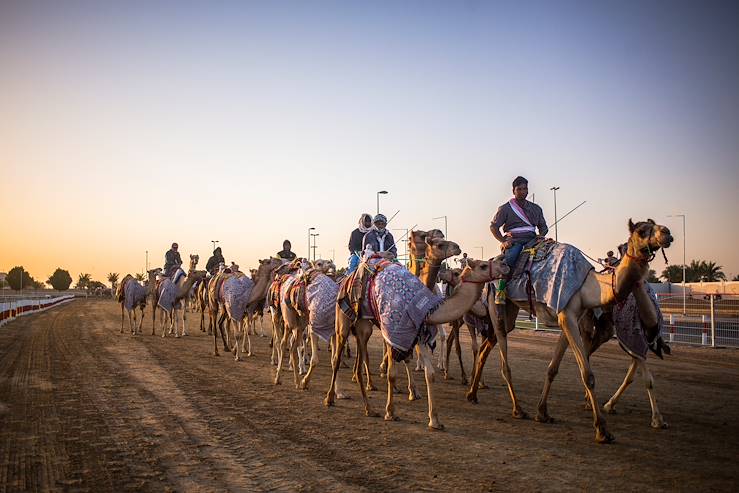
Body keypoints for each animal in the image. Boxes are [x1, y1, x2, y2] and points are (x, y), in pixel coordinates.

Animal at [324, 258, 508, 430]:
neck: (429, 310)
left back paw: (369, 409)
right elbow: (392, 374)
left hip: (364, 326)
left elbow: (430, 373)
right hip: (343, 321)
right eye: (483, 266)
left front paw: (434, 420)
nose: (504, 264)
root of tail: (347, 279)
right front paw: (390, 412)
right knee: (336, 358)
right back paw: (330, 398)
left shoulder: (418, 333)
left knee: (358, 363)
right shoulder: (392, 331)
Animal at [472, 219, 672, 442]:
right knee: (504, 362)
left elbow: (552, 368)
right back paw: (517, 409)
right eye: (641, 231)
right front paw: (602, 430)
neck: (586, 286)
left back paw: (472, 394)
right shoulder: (567, 316)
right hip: (496, 304)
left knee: (486, 347)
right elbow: (587, 375)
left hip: (510, 313)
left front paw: (542, 413)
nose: (667, 233)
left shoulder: (569, 318)